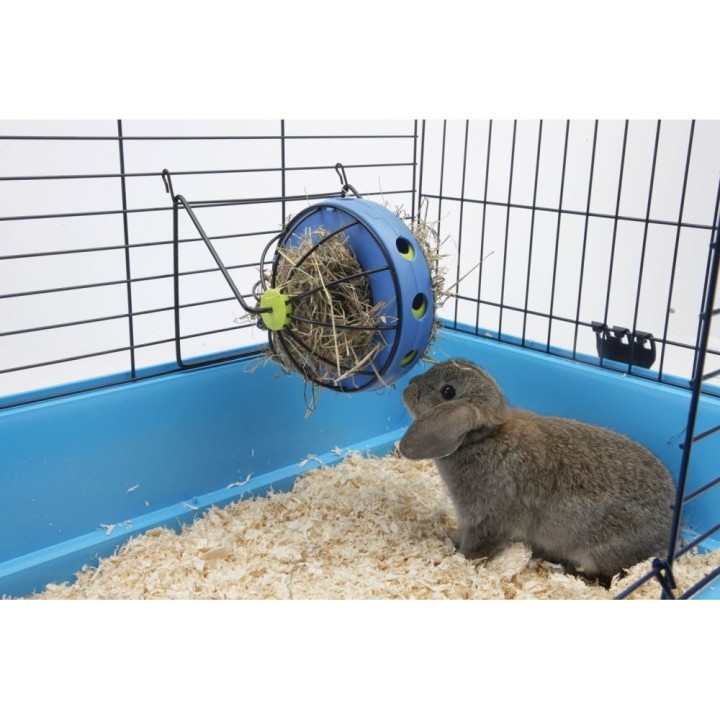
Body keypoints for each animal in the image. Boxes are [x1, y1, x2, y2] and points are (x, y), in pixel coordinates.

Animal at [398, 359, 676, 587]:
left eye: (448, 392)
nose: (408, 386)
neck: (483, 438)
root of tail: (666, 535)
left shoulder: (488, 519)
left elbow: (476, 548)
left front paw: (458, 558)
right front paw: (449, 536)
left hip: (599, 552)